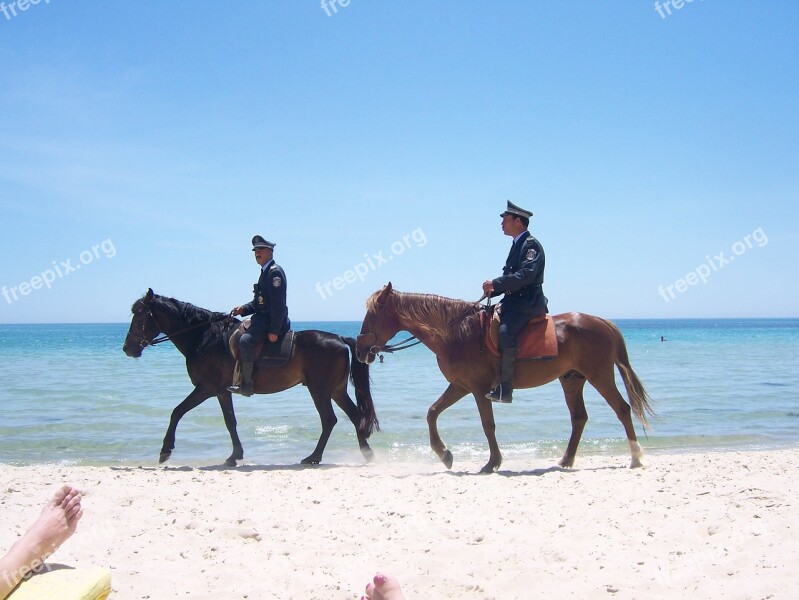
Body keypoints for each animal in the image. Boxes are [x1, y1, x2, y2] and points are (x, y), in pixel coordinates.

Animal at [122, 288, 378, 466]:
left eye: (140, 316)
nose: (127, 348)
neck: (204, 338)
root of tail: (339, 338)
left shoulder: (206, 388)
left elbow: (177, 412)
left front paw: (165, 450)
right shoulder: (221, 392)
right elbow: (230, 421)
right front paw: (235, 455)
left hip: (320, 390)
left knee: (329, 420)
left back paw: (313, 457)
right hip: (335, 390)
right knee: (355, 417)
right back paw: (367, 454)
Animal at [358, 284, 656, 476]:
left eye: (373, 313)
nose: (361, 351)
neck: (458, 333)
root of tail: (603, 322)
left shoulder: (478, 389)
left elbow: (487, 425)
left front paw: (492, 463)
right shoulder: (460, 386)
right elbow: (432, 413)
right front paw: (445, 455)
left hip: (600, 376)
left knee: (622, 409)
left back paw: (635, 457)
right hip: (572, 380)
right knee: (579, 417)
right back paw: (566, 460)